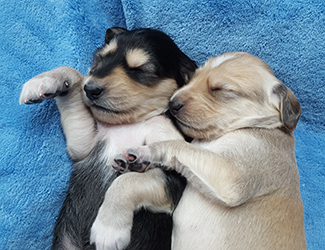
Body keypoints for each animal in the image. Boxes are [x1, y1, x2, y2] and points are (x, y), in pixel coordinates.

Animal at [20, 27, 197, 250]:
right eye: (100, 59)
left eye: (140, 70)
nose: (91, 89)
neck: (130, 122)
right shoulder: (83, 146)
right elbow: (75, 76)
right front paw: (46, 80)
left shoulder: (176, 178)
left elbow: (127, 181)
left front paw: (109, 229)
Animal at [92, 51, 306, 249]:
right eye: (193, 77)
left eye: (220, 89)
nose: (172, 104)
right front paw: (136, 161)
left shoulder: (233, 177)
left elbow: (176, 145)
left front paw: (144, 152)